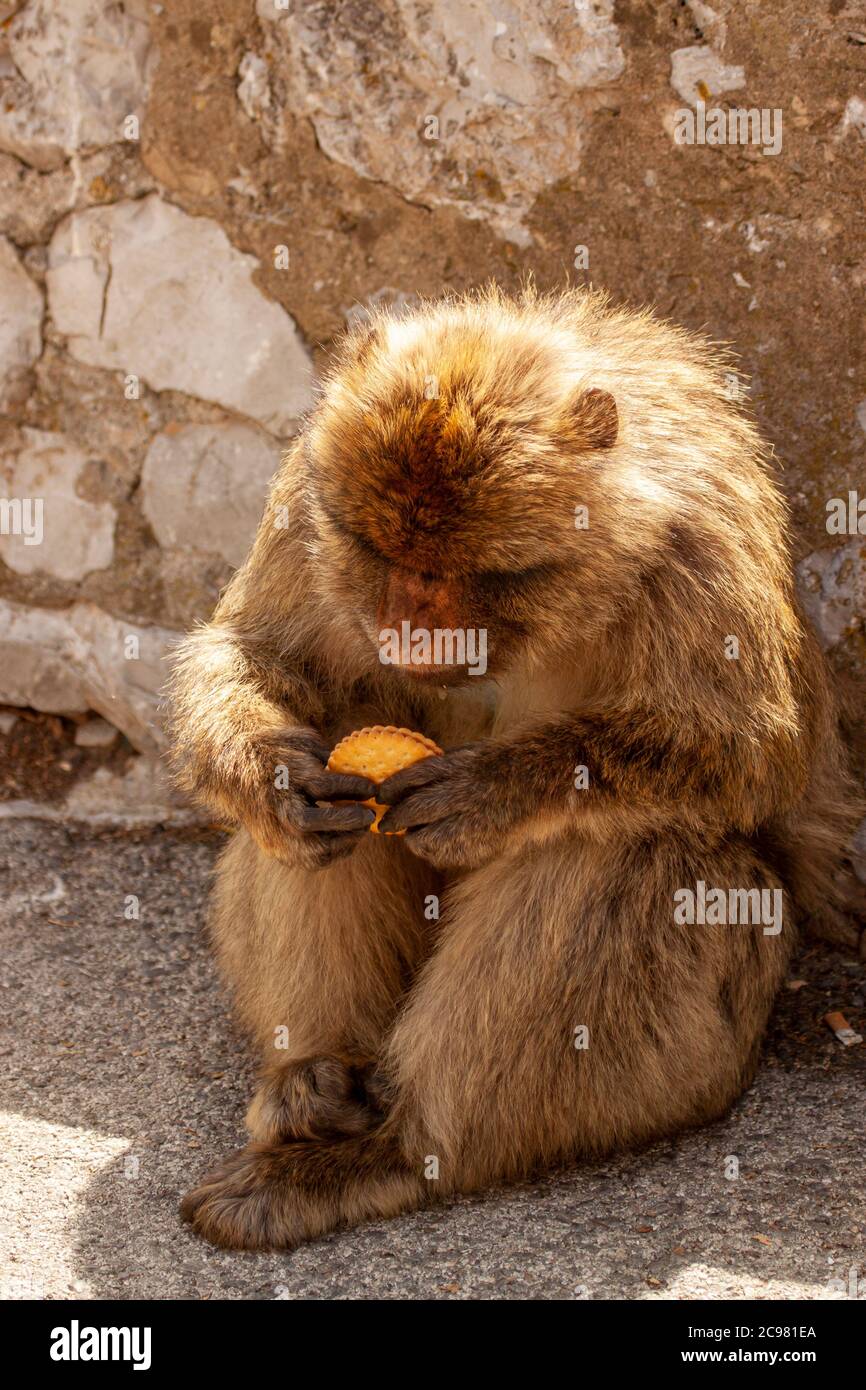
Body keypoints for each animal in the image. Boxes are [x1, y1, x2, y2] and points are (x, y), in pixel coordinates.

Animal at [169, 287, 861, 1256]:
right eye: (377, 551)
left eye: (466, 571)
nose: (407, 629)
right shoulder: (306, 506)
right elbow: (265, 662)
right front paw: (275, 776)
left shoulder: (700, 546)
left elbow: (748, 751)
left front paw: (493, 791)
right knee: (336, 827)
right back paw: (319, 1081)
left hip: (701, 1050)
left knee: (630, 861)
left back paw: (398, 1152)